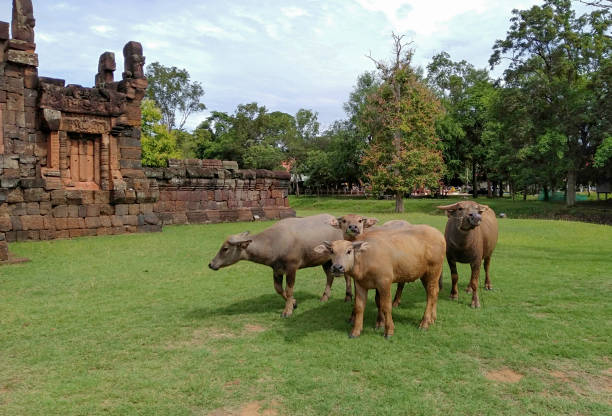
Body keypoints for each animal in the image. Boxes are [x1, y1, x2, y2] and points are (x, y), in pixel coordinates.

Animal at [209, 214, 344, 316]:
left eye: (225, 248)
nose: (211, 264)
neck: (274, 243)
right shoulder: (276, 269)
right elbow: (278, 289)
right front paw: (294, 303)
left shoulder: (292, 268)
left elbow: (288, 290)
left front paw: (287, 311)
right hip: (325, 261)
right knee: (329, 276)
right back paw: (325, 297)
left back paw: (325, 298)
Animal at [316, 226, 444, 340]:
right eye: (332, 251)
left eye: (349, 251)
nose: (337, 268)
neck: (365, 258)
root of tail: (439, 234)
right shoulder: (360, 284)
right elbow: (359, 307)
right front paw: (355, 331)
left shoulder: (384, 283)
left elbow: (386, 306)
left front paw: (389, 330)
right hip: (424, 275)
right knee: (434, 293)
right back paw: (432, 318)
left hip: (433, 271)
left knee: (431, 294)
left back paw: (424, 323)